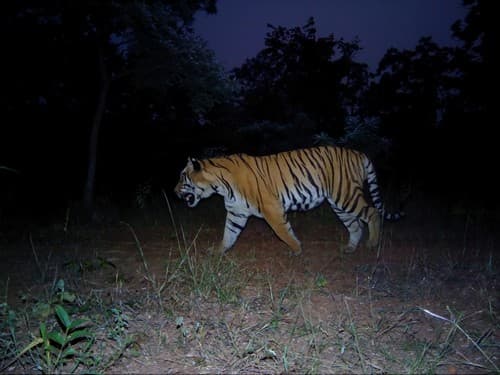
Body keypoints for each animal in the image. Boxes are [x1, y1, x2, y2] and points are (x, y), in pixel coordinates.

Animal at [173, 145, 402, 258]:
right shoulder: (236, 212)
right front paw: (219, 252)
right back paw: (350, 249)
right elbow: (228, 234)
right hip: (339, 203)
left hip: (346, 195)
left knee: (372, 213)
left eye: (183, 177)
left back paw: (372, 244)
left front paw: (296, 249)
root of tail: (359, 153)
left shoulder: (271, 207)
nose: (174, 192)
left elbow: (282, 231)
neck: (220, 186)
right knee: (355, 225)